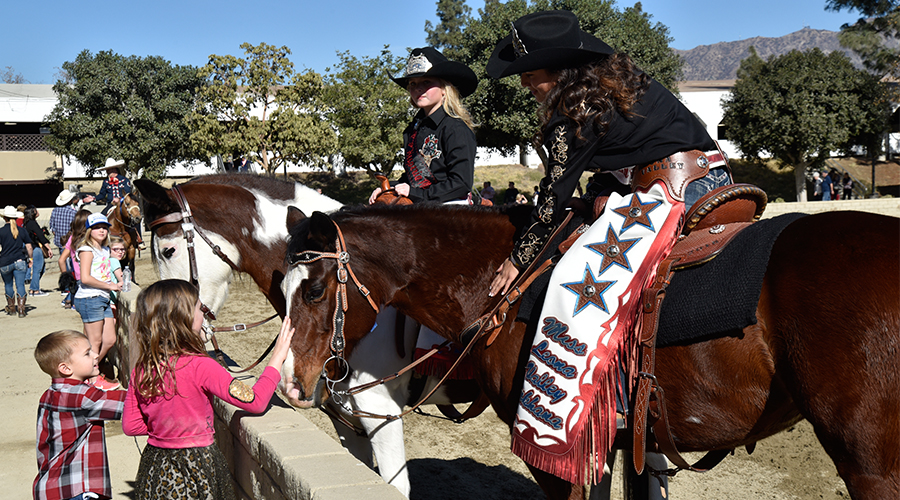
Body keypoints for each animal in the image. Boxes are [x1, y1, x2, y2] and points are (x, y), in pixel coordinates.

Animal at [282, 205, 900, 500]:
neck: (504, 284)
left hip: (872, 464)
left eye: (313, 290)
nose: (288, 382)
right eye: (280, 288)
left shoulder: (551, 454)